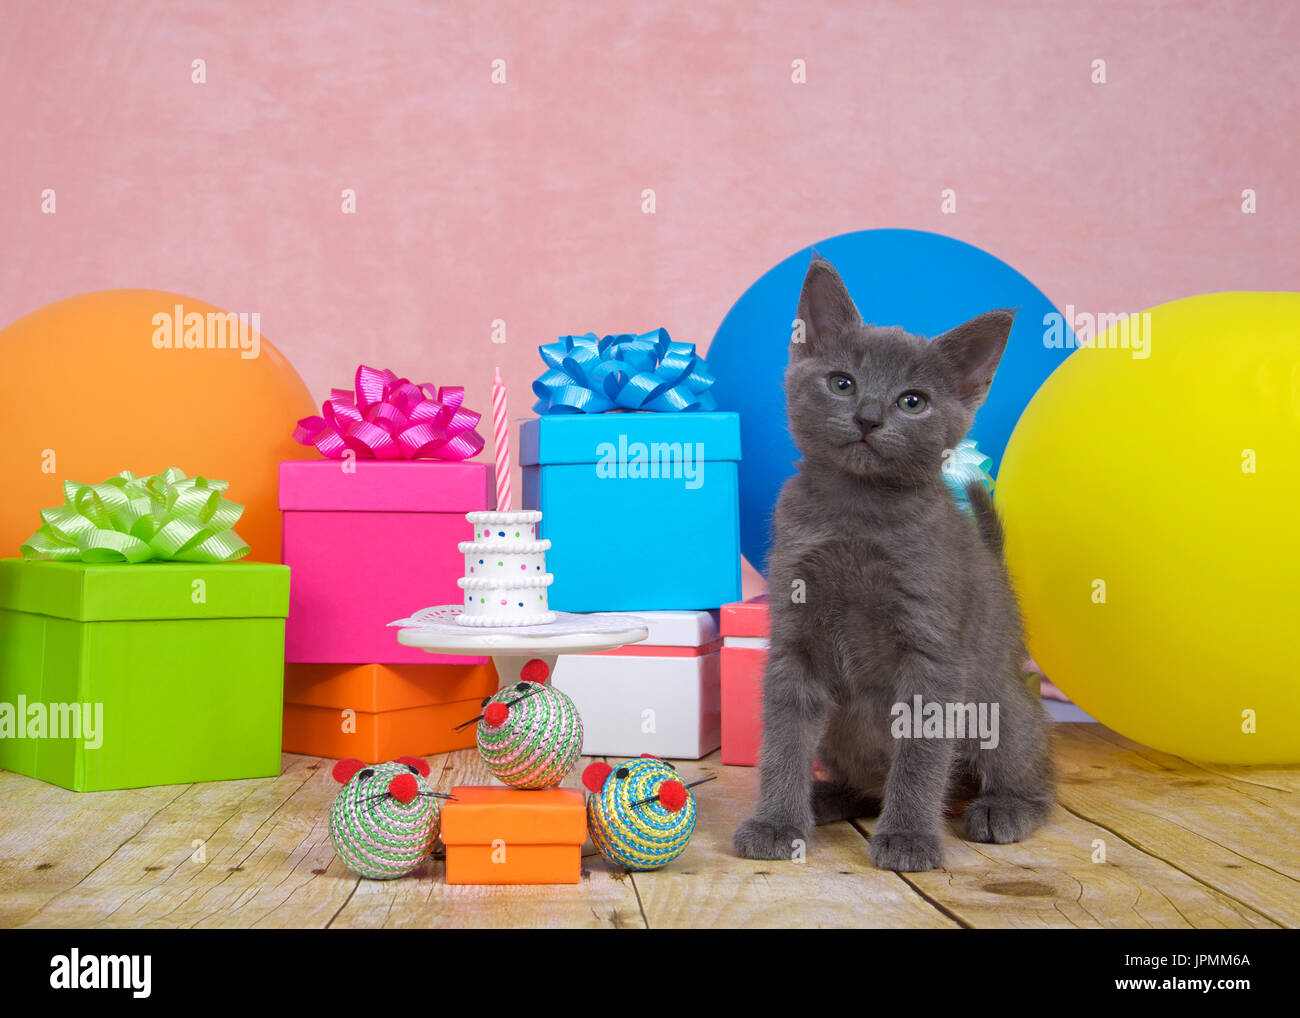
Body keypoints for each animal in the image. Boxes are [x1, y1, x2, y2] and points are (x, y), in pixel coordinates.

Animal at [733, 254, 1055, 868]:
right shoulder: (795, 639)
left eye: (913, 401)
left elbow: (922, 752)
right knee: (866, 781)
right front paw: (776, 821)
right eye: (842, 383)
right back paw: (828, 796)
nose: (868, 416)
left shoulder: (932, 654)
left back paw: (1004, 808)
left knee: (1038, 771)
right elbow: (784, 737)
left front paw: (908, 837)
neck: (857, 514)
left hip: (999, 704)